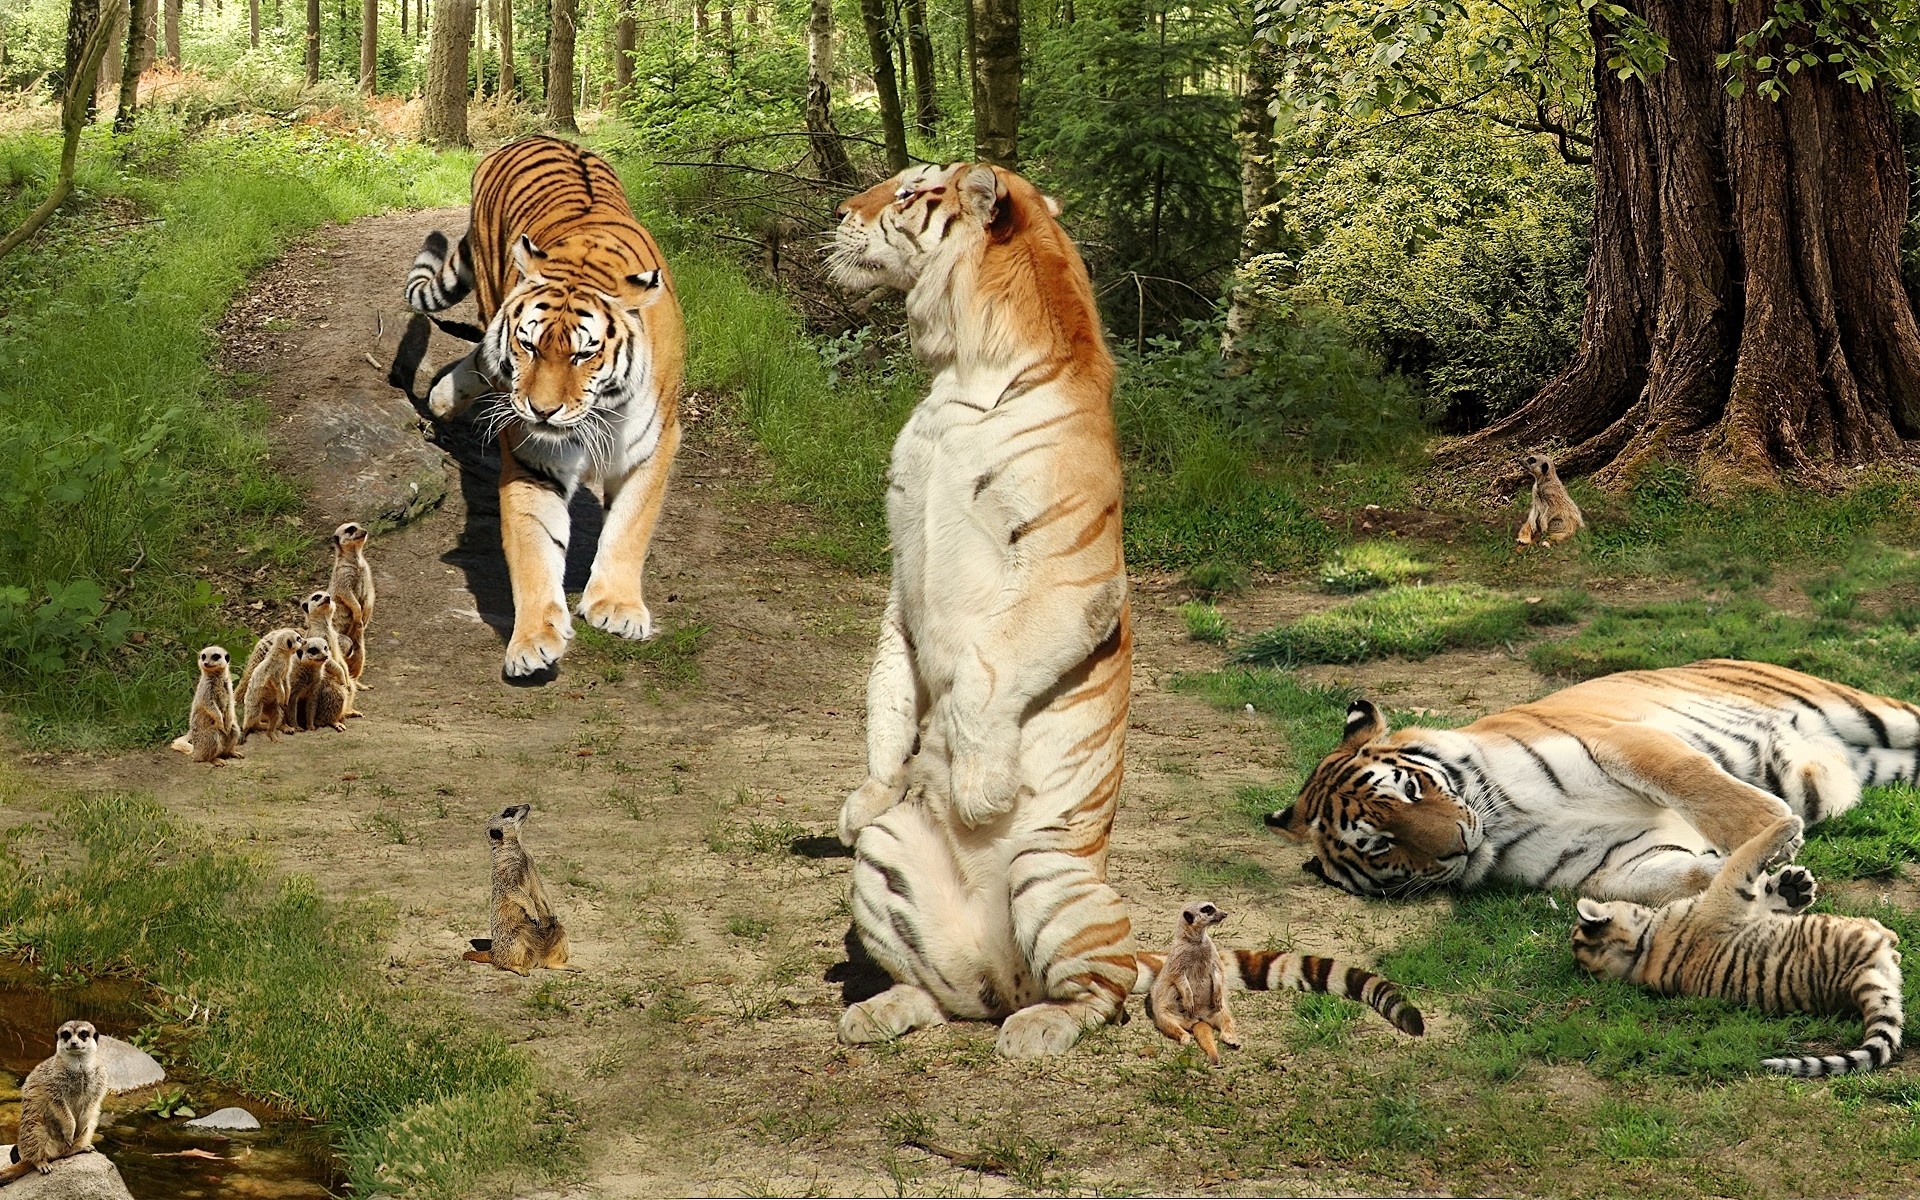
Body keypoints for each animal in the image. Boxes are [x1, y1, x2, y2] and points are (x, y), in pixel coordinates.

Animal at [404, 135, 686, 679]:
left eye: (583, 354)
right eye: (529, 345)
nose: (541, 411)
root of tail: (532, 136)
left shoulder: (654, 447)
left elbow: (630, 527)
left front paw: (617, 606)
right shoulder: (533, 459)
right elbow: (535, 547)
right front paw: (533, 640)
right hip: (489, 297)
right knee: (483, 357)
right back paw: (444, 398)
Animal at [826, 162, 1138, 1058]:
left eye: (906, 193)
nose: (840, 208)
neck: (956, 373)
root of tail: (1003, 981)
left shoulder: (1065, 575)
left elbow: (982, 674)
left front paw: (980, 793)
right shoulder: (900, 562)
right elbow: (889, 681)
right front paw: (872, 785)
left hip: (1054, 874)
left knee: (1107, 989)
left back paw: (1038, 1029)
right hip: (888, 860)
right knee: (945, 995)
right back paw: (880, 1011)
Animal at [1267, 660, 1920, 904]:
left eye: (1408, 791)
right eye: (1380, 846)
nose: (1456, 845)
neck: (1500, 820)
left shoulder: (1619, 742)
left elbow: (1694, 781)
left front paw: (1774, 830)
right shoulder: (1611, 863)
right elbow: (1681, 878)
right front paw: (1775, 883)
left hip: (1872, 712)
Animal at [1574, 815, 1904, 1076]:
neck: (1641, 954)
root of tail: (1856, 979)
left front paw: (1792, 886)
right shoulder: (1725, 896)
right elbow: (1742, 858)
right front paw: (1788, 825)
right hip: (1843, 928)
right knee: (1884, 935)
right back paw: (1892, 937)